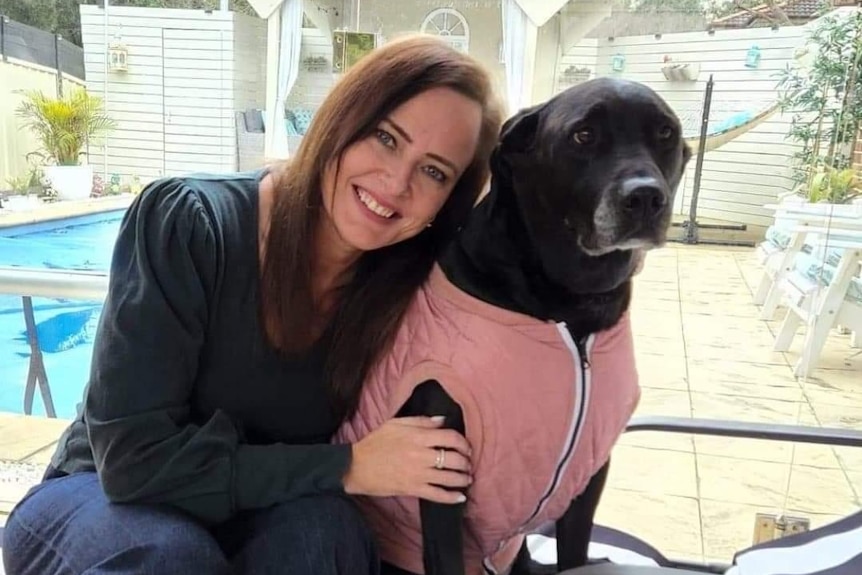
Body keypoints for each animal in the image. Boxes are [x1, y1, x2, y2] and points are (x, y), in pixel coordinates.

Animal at [374, 80, 692, 575]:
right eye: (583, 135)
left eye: (665, 133)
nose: (645, 197)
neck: (573, 311)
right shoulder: (441, 466)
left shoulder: (591, 467)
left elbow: (574, 551)